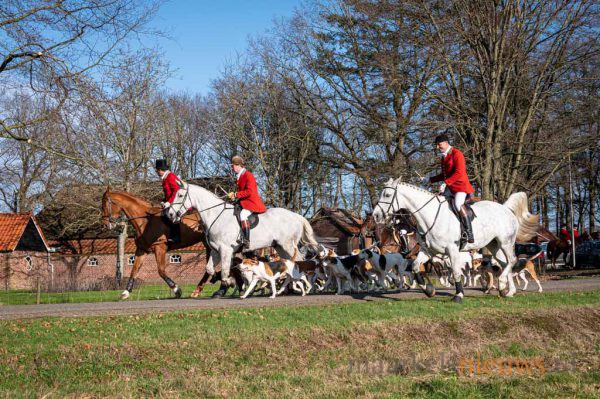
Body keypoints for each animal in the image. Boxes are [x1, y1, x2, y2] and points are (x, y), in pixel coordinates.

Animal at [164, 182, 318, 294]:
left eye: (180, 195)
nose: (170, 214)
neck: (216, 215)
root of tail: (296, 216)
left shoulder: (226, 250)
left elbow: (225, 271)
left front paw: (228, 283)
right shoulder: (215, 250)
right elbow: (209, 269)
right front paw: (223, 281)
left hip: (288, 246)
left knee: (300, 262)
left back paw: (305, 287)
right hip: (280, 247)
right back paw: (290, 288)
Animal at [376, 179, 540, 304]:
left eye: (387, 195)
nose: (376, 215)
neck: (429, 216)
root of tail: (505, 209)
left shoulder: (452, 250)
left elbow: (455, 272)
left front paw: (459, 295)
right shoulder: (427, 250)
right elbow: (416, 267)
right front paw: (429, 290)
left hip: (506, 242)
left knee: (511, 260)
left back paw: (502, 283)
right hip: (494, 245)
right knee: (505, 263)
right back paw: (508, 290)